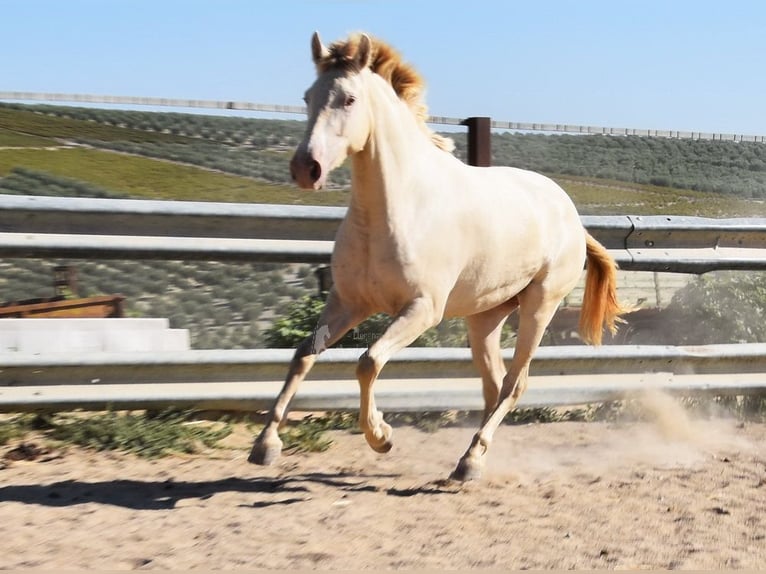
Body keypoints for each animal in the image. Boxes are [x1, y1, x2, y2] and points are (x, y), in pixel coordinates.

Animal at [249, 31, 628, 482]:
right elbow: (303, 356)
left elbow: (367, 362)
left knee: (515, 383)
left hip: (540, 305)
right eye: (307, 96)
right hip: (485, 317)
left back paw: (470, 460)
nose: (306, 168)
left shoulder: (422, 309)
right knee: (494, 384)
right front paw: (265, 445)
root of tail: (572, 217)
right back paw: (471, 459)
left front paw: (381, 436)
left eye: (349, 99)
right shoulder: (349, 303)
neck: (396, 209)